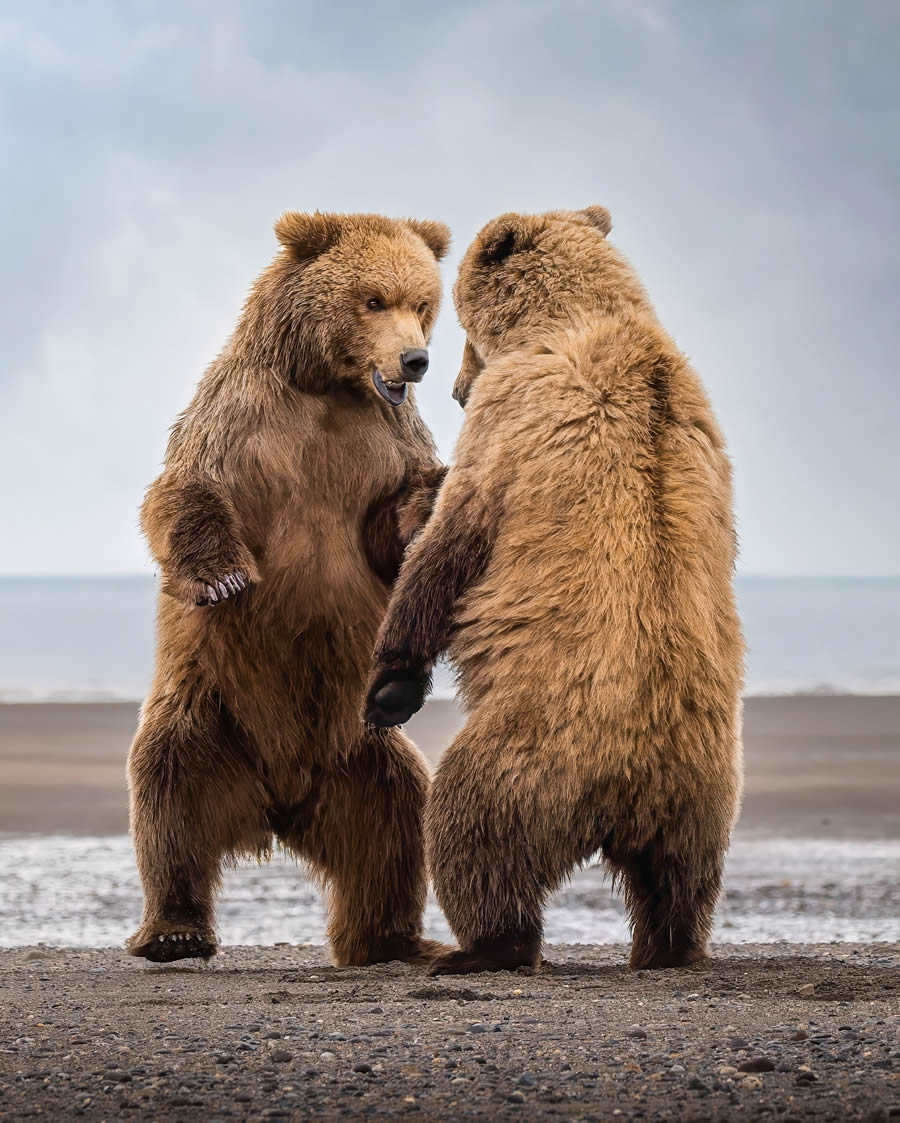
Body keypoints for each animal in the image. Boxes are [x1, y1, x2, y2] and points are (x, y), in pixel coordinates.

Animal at [125, 212, 449, 965]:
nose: (415, 361)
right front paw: (223, 575)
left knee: (397, 821)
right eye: (373, 299)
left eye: (423, 303)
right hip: (210, 711)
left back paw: (394, 938)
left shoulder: (385, 438)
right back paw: (175, 931)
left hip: (359, 748)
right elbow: (185, 491)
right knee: (167, 792)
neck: (328, 386)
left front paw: (436, 501)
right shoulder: (243, 421)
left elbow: (395, 519)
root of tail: (277, 802)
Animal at [364, 208, 746, 974]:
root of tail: (633, 785)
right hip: (704, 791)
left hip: (531, 752)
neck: (586, 314)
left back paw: (483, 946)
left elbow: (452, 541)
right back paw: (665, 945)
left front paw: (390, 682)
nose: (454, 386)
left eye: (462, 332)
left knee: (471, 828)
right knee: (682, 878)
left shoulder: (515, 414)